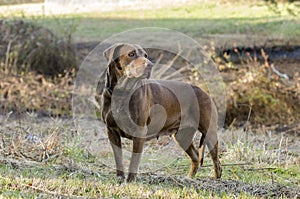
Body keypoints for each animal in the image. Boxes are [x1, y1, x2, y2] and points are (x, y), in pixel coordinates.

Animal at [100, 43, 220, 182]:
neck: (122, 92)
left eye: (145, 55)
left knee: (216, 161)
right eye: (131, 54)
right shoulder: (112, 131)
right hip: (182, 136)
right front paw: (120, 178)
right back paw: (188, 178)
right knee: (195, 156)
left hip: (209, 132)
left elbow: (134, 160)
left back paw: (217, 181)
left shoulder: (139, 132)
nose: (150, 65)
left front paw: (130, 181)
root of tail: (204, 91)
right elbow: (118, 158)